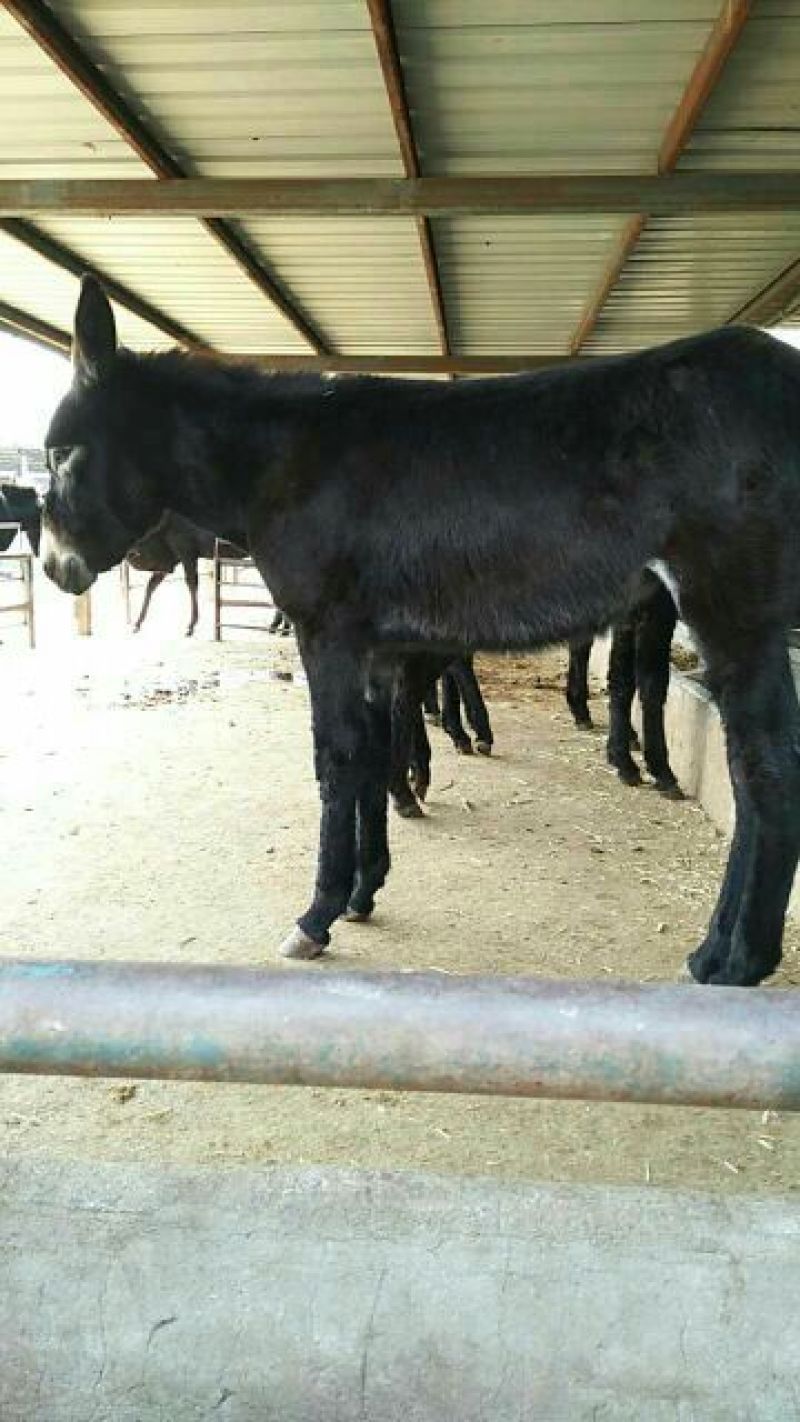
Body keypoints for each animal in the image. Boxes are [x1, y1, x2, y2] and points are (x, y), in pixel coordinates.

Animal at [41, 275, 800, 987]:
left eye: (61, 455)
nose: (52, 566)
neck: (278, 465)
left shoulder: (326, 632)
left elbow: (337, 758)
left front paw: (316, 915)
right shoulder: (376, 647)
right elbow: (376, 751)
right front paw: (363, 888)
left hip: (731, 605)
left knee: (764, 765)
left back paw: (735, 960)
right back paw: (717, 953)